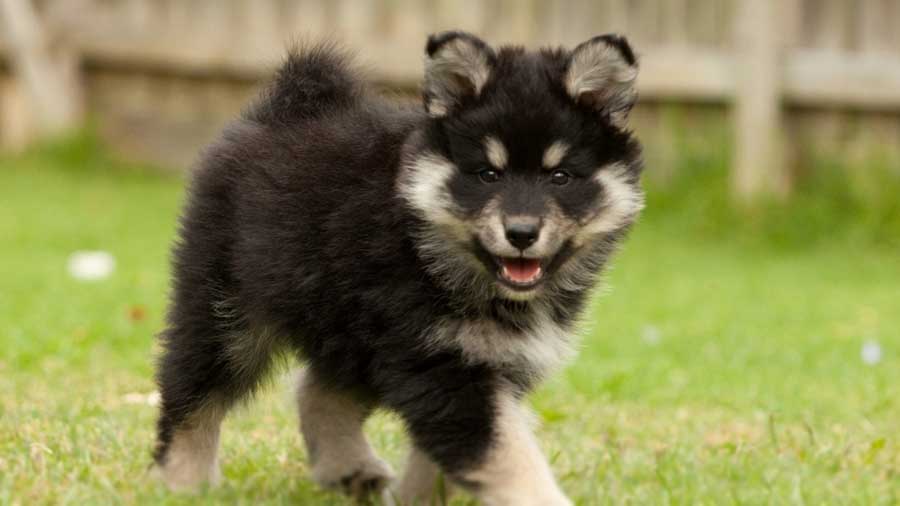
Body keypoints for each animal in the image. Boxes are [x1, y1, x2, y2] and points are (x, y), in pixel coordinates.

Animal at [156, 31, 648, 506]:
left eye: (560, 177)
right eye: (487, 175)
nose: (522, 232)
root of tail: (284, 108)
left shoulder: (485, 362)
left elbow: (443, 464)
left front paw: (416, 500)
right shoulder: (442, 363)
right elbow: (506, 454)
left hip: (347, 325)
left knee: (319, 388)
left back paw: (348, 469)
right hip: (226, 308)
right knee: (193, 394)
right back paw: (183, 481)